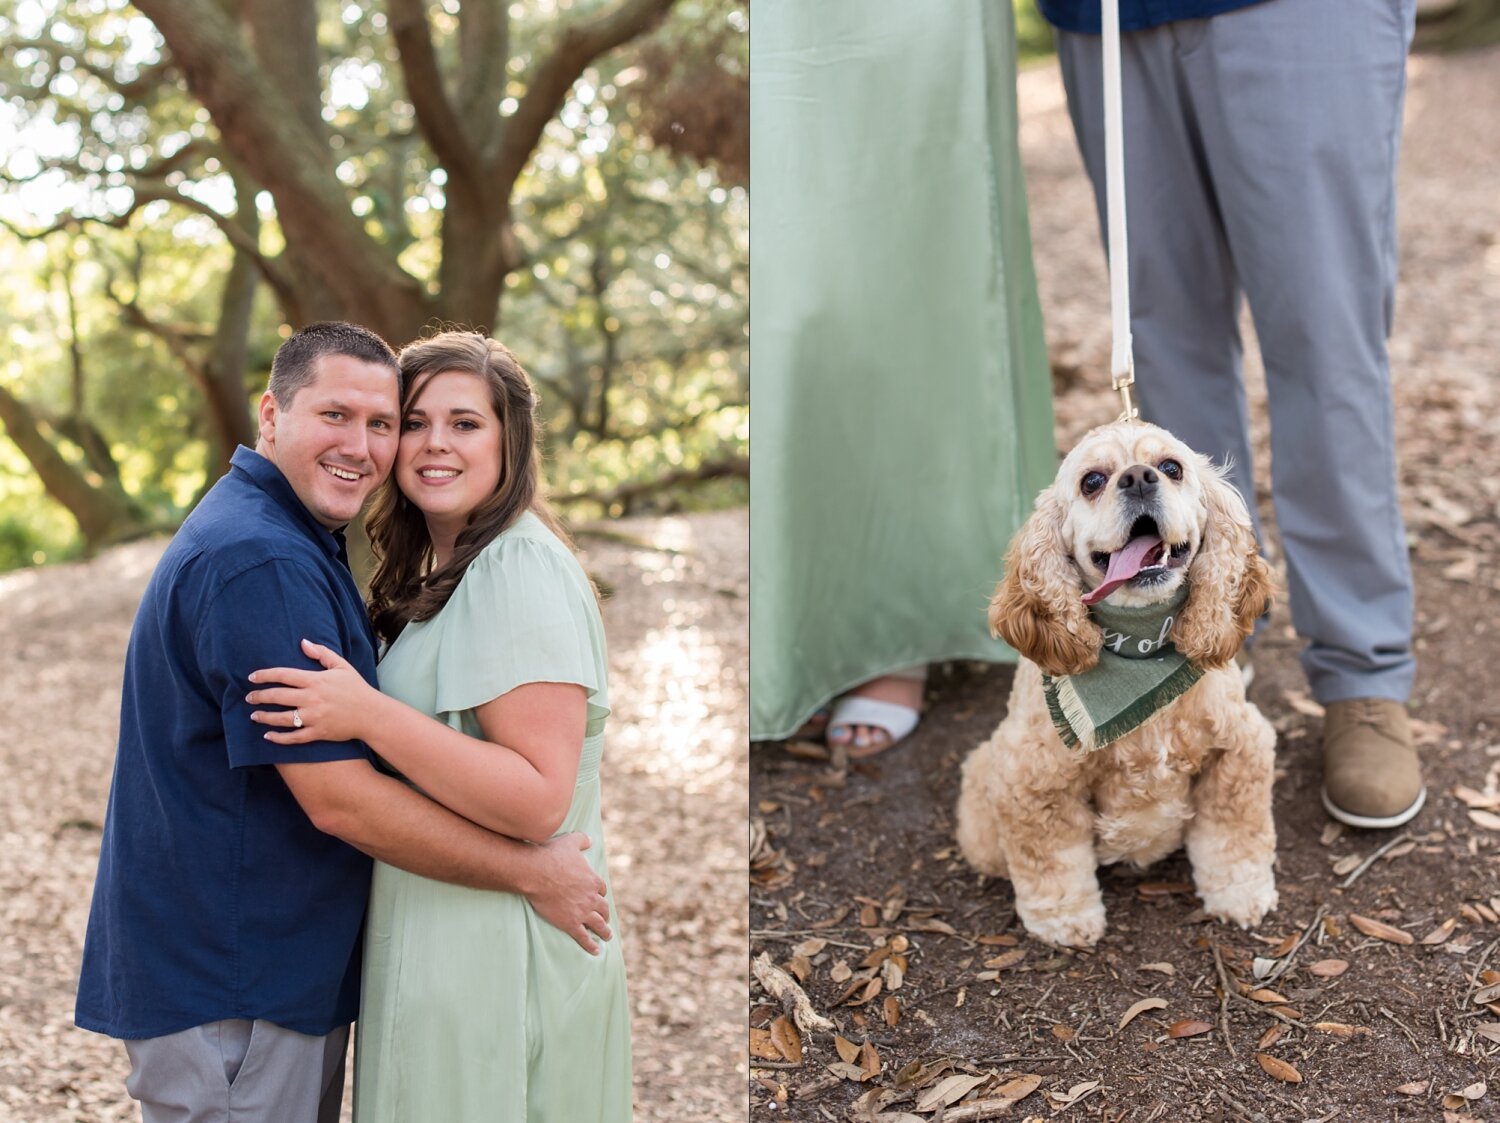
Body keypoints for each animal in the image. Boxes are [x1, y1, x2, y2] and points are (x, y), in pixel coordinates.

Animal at [960, 419, 1278, 947]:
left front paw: (1240, 892)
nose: (1139, 478)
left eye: (1171, 467)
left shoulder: (1239, 748)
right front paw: (1064, 918)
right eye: (1092, 481)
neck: (1141, 645)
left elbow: (1233, 832)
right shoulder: (1034, 780)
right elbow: (1051, 860)